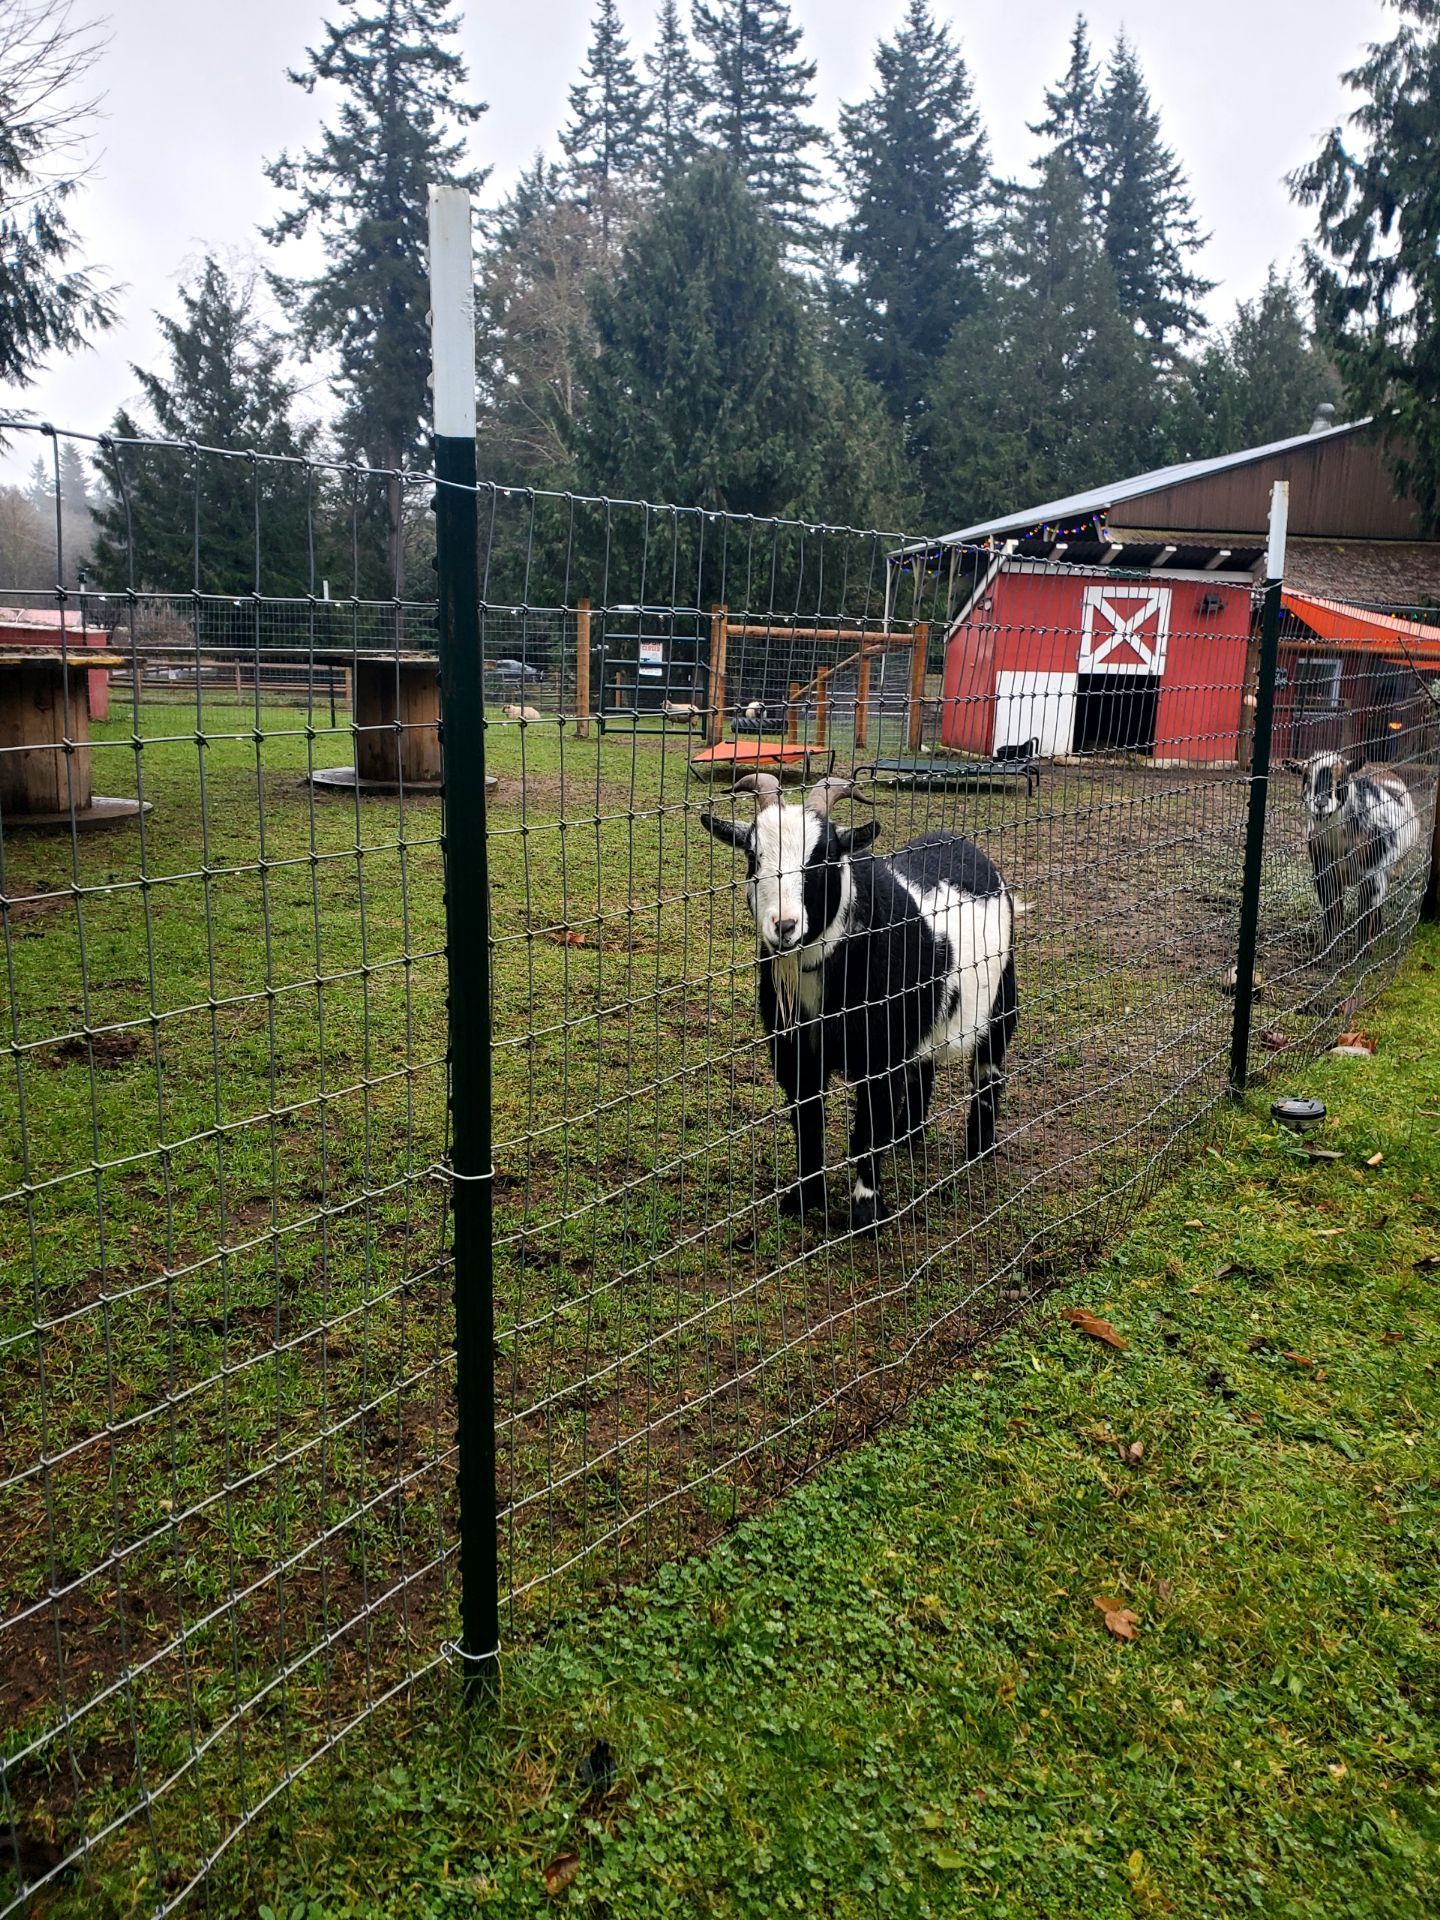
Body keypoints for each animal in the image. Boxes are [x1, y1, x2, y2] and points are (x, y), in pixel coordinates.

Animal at [701, 773, 1018, 1231]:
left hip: (1000, 998)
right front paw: (803, 1198)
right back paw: (909, 1137)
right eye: (753, 856)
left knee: (988, 1073)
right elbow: (808, 1124)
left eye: (825, 858)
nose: (784, 926)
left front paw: (867, 1210)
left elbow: (869, 1129)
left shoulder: (880, 1053)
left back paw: (979, 1149)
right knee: (923, 1069)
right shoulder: (796, 1052)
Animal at [1281, 749, 1420, 952]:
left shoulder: (1372, 875)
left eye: (1341, 780)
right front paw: (1324, 949)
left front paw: (1363, 951)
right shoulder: (1323, 872)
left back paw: (1377, 932)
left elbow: (1364, 915)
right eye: (1307, 778)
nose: (1321, 803)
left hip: (1391, 868)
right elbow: (1332, 911)